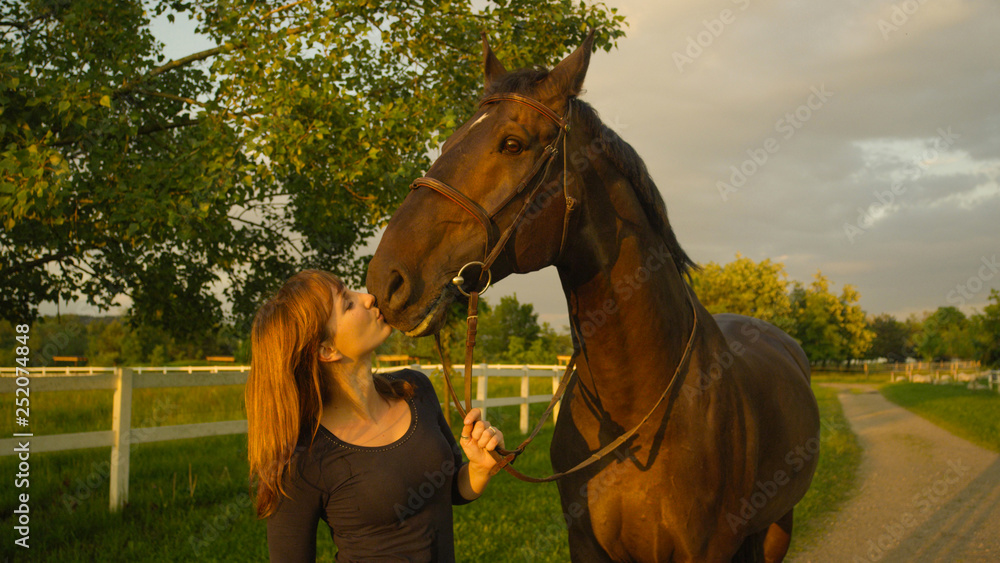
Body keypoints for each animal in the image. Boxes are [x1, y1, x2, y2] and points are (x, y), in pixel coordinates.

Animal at [368, 32, 820, 563]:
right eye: (447, 143)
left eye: (513, 144)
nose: (386, 280)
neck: (635, 413)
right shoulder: (585, 544)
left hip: (777, 526)